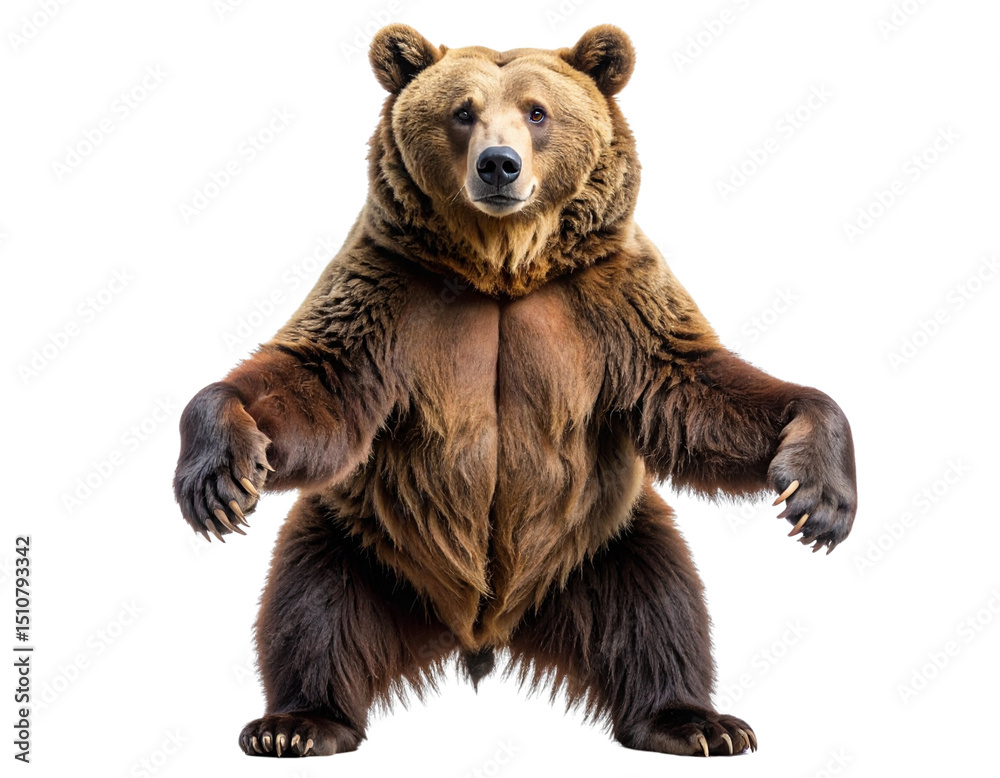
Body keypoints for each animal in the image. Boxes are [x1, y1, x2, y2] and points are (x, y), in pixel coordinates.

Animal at [173, 24, 857, 759]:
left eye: (537, 112)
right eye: (461, 111)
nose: (498, 165)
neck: (503, 266)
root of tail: (481, 633)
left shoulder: (614, 297)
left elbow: (696, 386)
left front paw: (817, 494)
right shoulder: (387, 289)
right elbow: (315, 379)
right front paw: (218, 474)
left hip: (605, 542)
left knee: (660, 602)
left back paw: (696, 722)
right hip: (360, 537)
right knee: (311, 601)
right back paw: (297, 724)